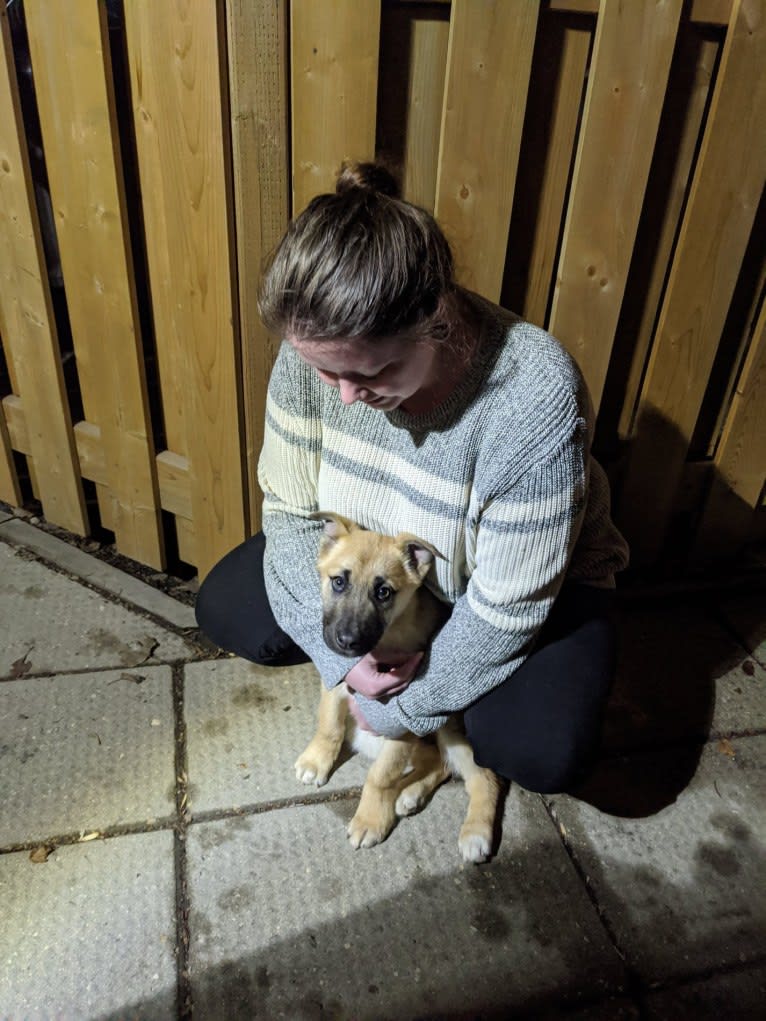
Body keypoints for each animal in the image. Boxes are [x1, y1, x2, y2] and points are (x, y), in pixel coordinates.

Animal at [296, 510, 504, 861]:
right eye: (338, 582)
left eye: (384, 593)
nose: (347, 642)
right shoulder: (338, 680)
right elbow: (329, 724)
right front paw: (316, 761)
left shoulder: (400, 720)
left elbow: (380, 776)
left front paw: (370, 819)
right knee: (438, 762)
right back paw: (410, 793)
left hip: (447, 727)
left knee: (483, 776)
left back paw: (475, 832)